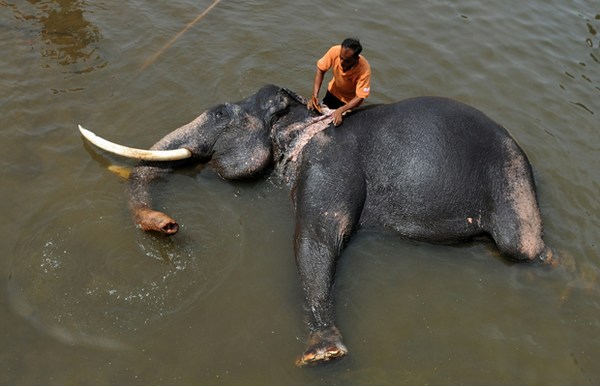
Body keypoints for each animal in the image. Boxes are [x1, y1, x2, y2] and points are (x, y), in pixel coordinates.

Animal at [79, 84, 556, 366]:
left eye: (217, 114)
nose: (169, 225)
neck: (303, 119)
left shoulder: (330, 162)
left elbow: (318, 236)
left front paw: (323, 354)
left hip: (511, 179)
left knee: (519, 246)